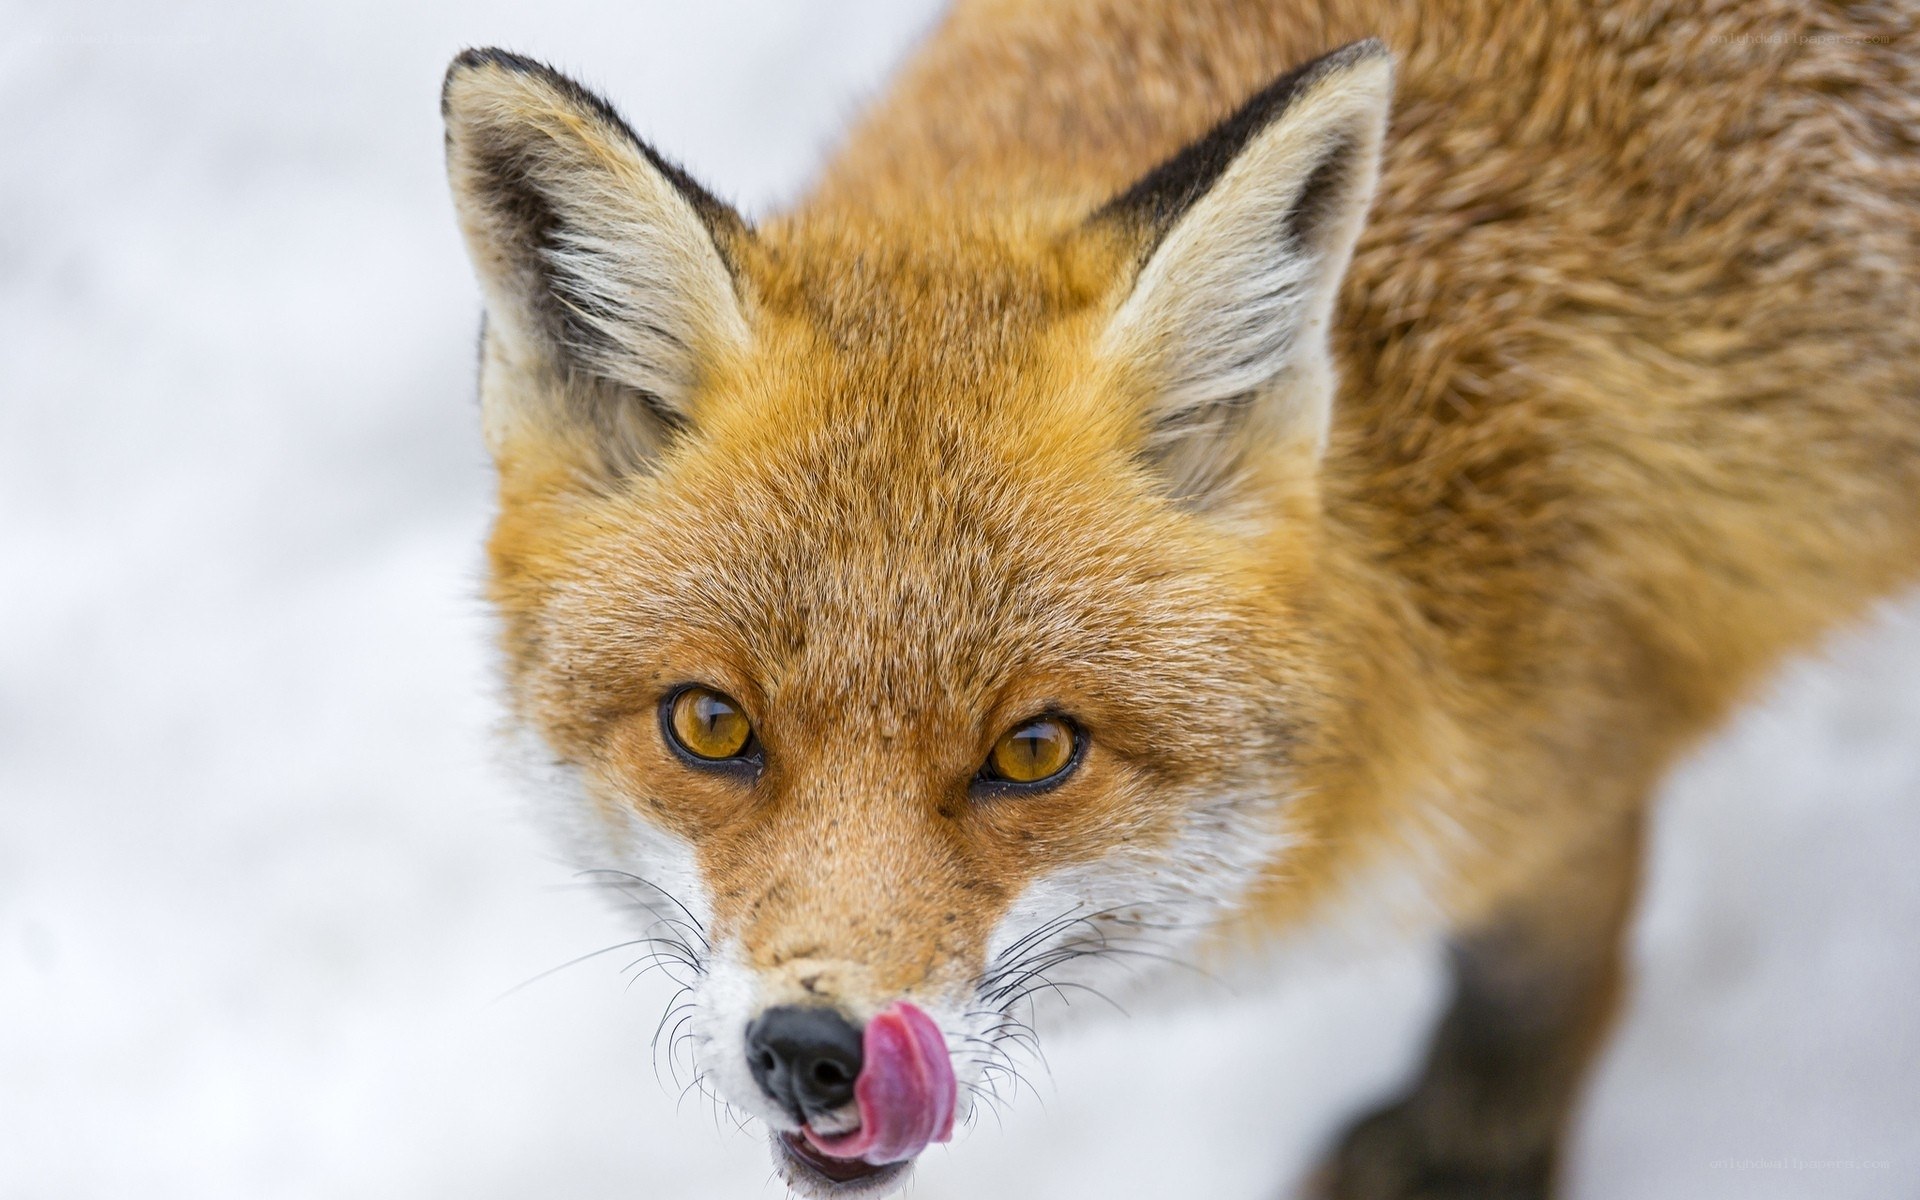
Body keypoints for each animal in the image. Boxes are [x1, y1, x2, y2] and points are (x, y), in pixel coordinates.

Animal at [439, 0, 1920, 1196]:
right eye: (710, 726)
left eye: (1037, 751)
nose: (813, 1052)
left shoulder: (1575, 742)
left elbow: (1538, 965)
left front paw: (1466, 1148)